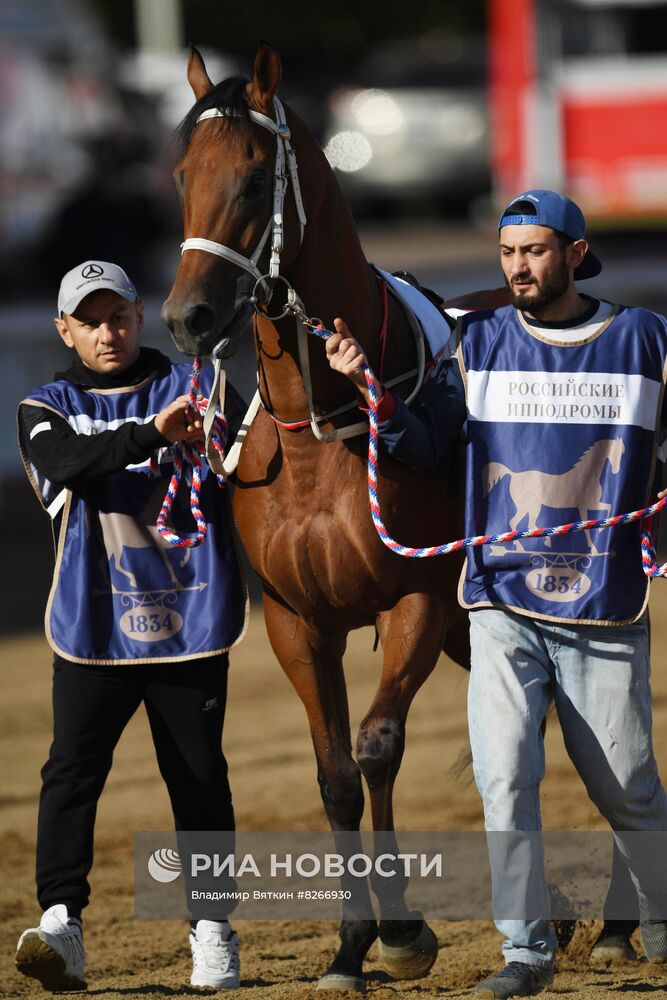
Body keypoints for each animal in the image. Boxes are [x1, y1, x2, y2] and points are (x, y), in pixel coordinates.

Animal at [164, 41, 472, 992]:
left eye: (253, 176)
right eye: (181, 174)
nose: (185, 317)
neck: (322, 426)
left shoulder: (418, 599)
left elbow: (376, 747)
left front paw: (404, 933)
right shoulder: (298, 620)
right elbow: (334, 773)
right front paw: (348, 947)